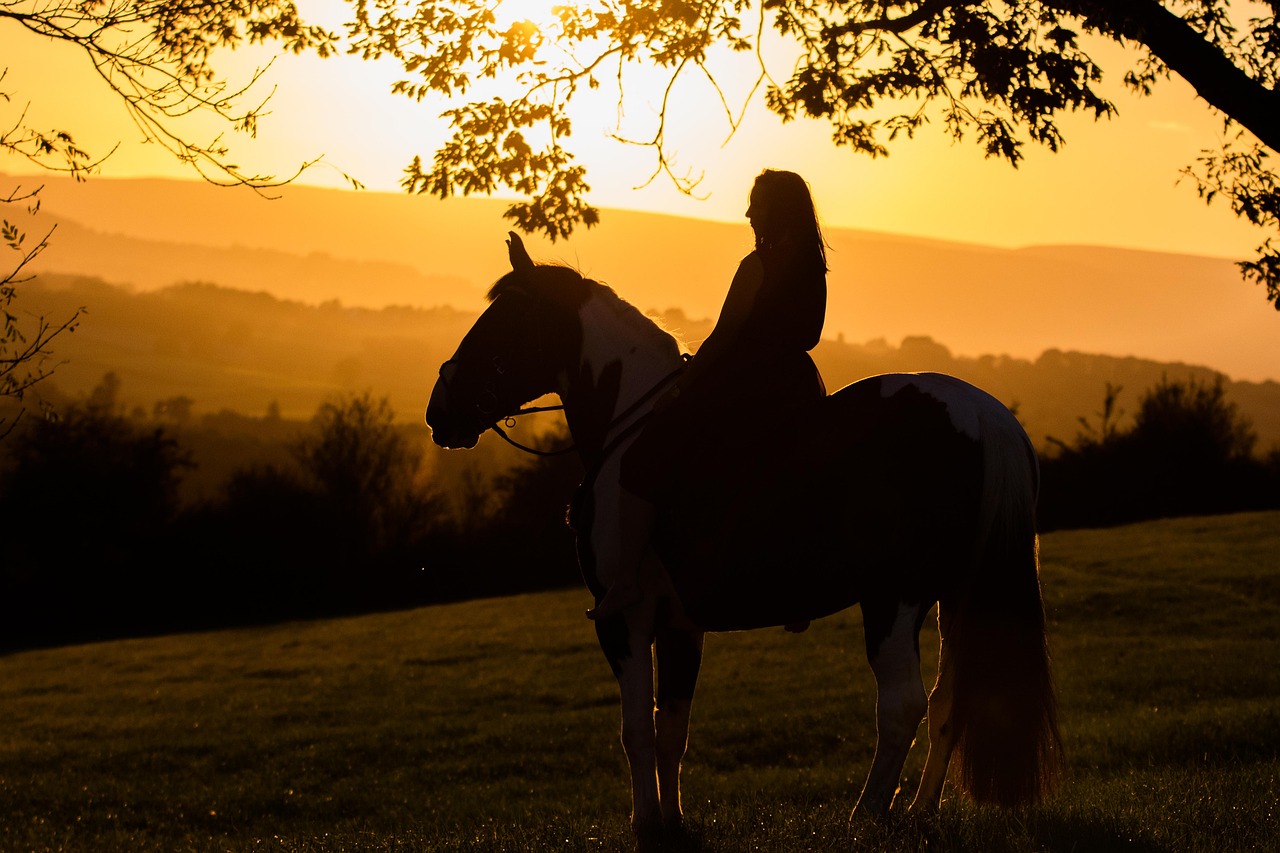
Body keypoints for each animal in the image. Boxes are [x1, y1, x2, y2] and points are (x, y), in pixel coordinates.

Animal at [424, 235, 1064, 835]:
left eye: (500, 323)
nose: (438, 410)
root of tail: (980, 414)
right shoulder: (680, 625)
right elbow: (671, 728)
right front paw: (673, 820)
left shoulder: (624, 620)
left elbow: (635, 729)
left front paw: (645, 823)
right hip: (957, 598)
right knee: (948, 703)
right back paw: (918, 809)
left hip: (893, 599)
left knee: (903, 706)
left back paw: (866, 814)